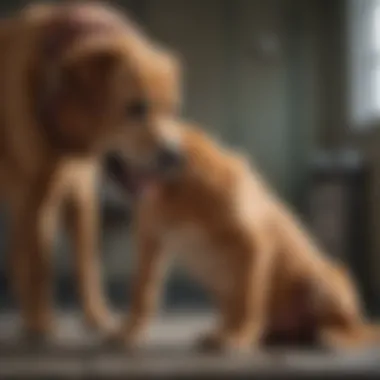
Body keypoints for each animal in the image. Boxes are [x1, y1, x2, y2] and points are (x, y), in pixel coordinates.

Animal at [0, 1, 181, 340]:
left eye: (172, 110)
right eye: (136, 108)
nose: (176, 156)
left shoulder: (80, 190)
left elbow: (87, 263)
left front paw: (98, 318)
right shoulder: (34, 195)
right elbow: (40, 265)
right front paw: (42, 324)